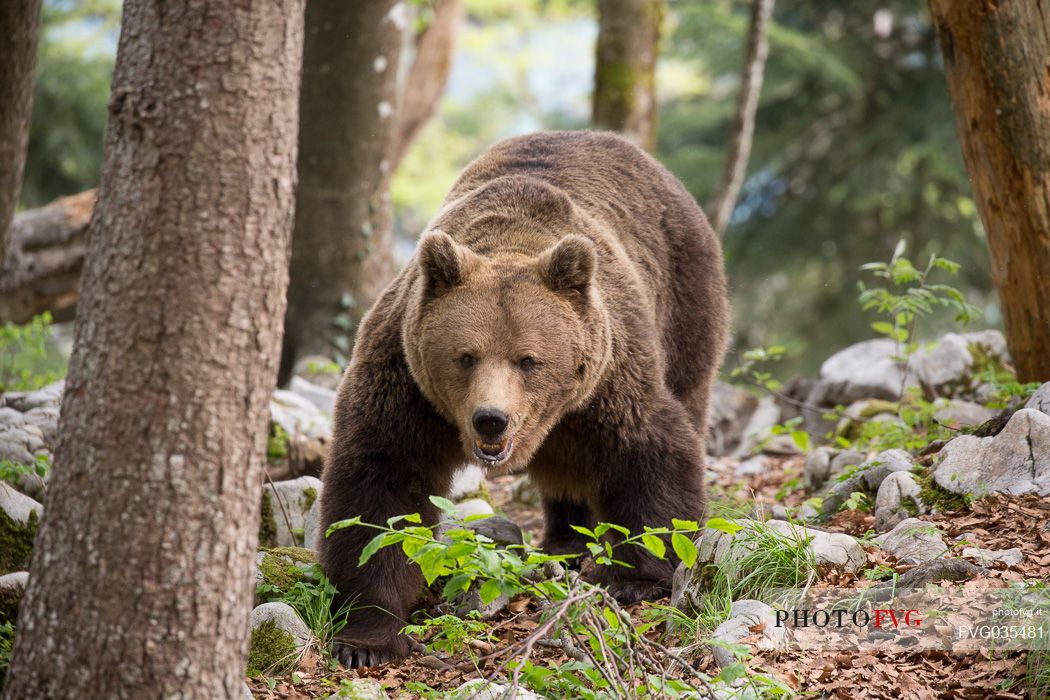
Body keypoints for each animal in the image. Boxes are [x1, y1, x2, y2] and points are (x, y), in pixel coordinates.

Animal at [319, 128, 726, 667]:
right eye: (466, 356)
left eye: (528, 359)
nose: (492, 419)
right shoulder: (406, 387)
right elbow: (380, 490)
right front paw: (367, 639)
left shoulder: (608, 378)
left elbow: (647, 451)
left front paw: (634, 578)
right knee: (565, 472)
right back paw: (564, 543)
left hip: (683, 302)